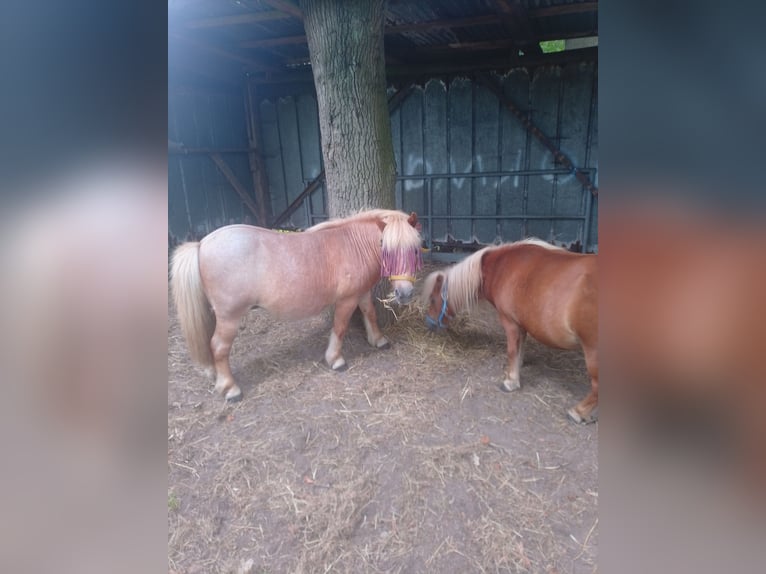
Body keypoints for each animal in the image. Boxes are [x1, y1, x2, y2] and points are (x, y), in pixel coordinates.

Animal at [171, 209, 423, 401]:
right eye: (385, 247)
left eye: (415, 249)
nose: (404, 293)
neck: (354, 245)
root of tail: (202, 244)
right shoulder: (347, 299)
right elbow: (340, 327)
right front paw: (335, 360)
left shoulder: (361, 293)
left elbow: (370, 314)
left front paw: (378, 340)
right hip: (229, 317)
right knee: (219, 346)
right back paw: (230, 389)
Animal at [422, 239, 598, 423]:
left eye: (433, 299)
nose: (429, 323)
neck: (500, 267)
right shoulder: (521, 324)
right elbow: (520, 348)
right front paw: (517, 367)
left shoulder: (510, 323)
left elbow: (512, 350)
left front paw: (510, 381)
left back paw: (578, 412)